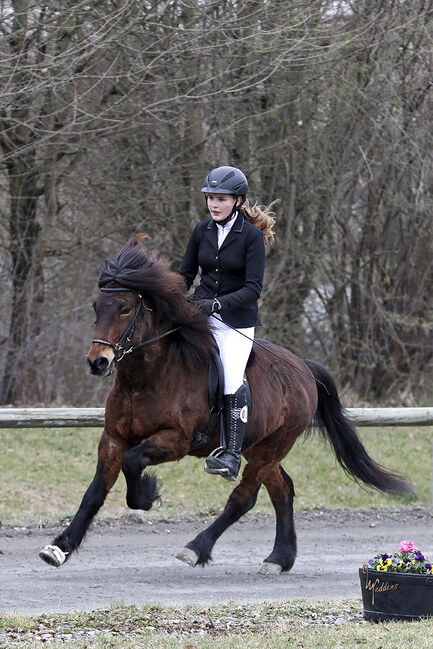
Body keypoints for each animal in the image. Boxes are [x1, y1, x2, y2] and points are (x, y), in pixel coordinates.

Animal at [39, 235, 412, 576]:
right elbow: (94, 493)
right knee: (282, 490)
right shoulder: (113, 438)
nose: (98, 362)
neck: (144, 379)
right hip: (260, 446)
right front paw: (59, 547)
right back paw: (279, 559)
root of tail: (304, 368)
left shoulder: (174, 440)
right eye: (95, 307)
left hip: (271, 447)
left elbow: (133, 464)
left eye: (125, 309)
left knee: (244, 498)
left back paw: (196, 548)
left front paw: (148, 493)